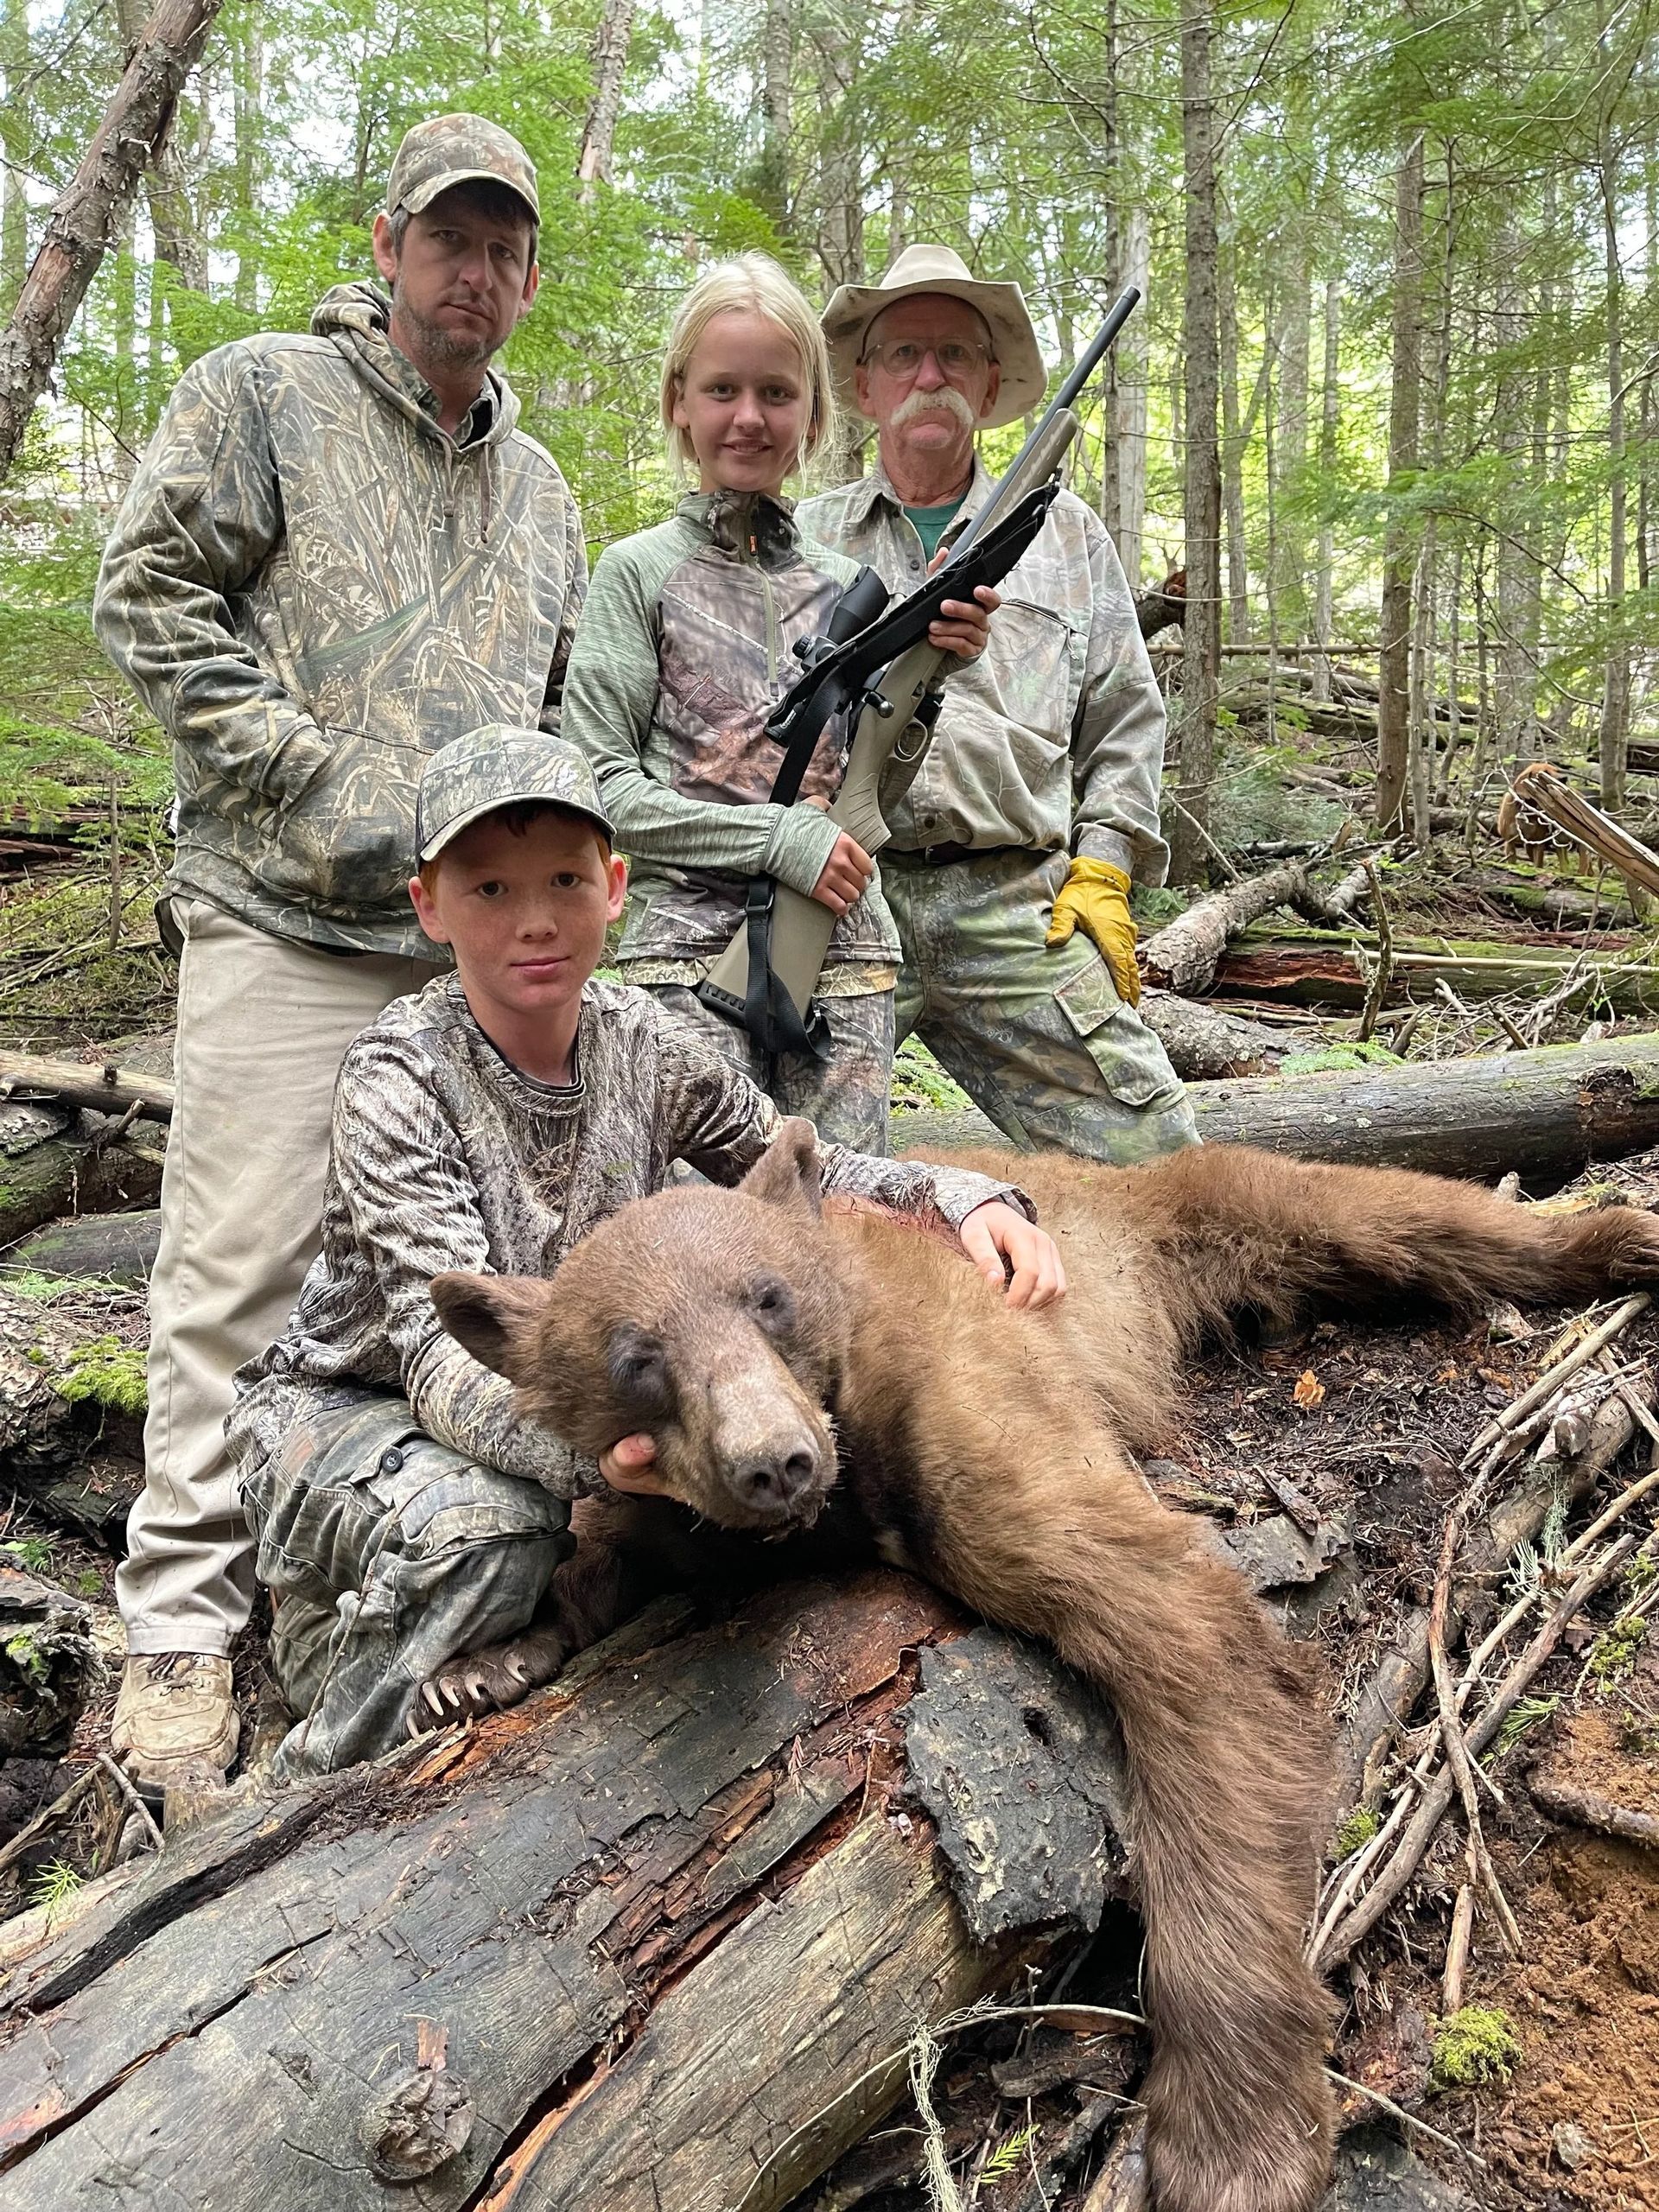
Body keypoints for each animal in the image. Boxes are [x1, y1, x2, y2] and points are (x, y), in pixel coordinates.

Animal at [432, 1128, 1659, 2212]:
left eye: (768, 1295)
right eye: (636, 1359)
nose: (774, 1461)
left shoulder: (953, 1387)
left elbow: (1179, 1623)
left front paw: (1233, 2141)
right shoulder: (692, 1508)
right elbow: (604, 1542)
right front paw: (488, 1662)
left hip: (1184, 1218)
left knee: (1380, 1211)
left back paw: (1614, 1238)